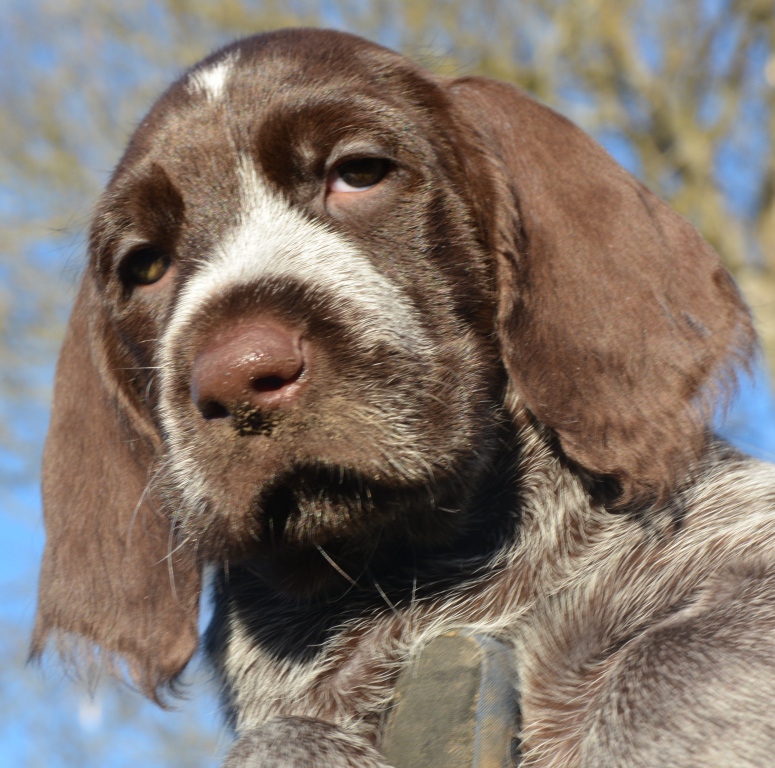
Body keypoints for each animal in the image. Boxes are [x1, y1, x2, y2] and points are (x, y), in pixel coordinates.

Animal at [31, 27, 775, 764]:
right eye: (145, 266)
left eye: (358, 173)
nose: (239, 375)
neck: (413, 576)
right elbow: (279, 738)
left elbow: (679, 653)